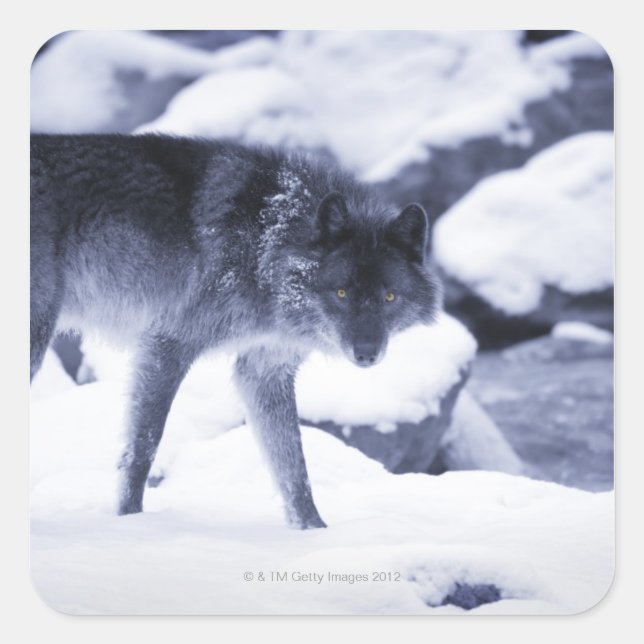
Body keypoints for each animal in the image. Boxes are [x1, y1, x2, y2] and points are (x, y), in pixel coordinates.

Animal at [30, 133, 441, 529]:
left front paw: (313, 531)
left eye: (389, 297)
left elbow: (293, 466)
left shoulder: (264, 369)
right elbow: (144, 446)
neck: (266, 241)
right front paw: (129, 522)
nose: (366, 353)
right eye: (341, 293)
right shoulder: (169, 343)